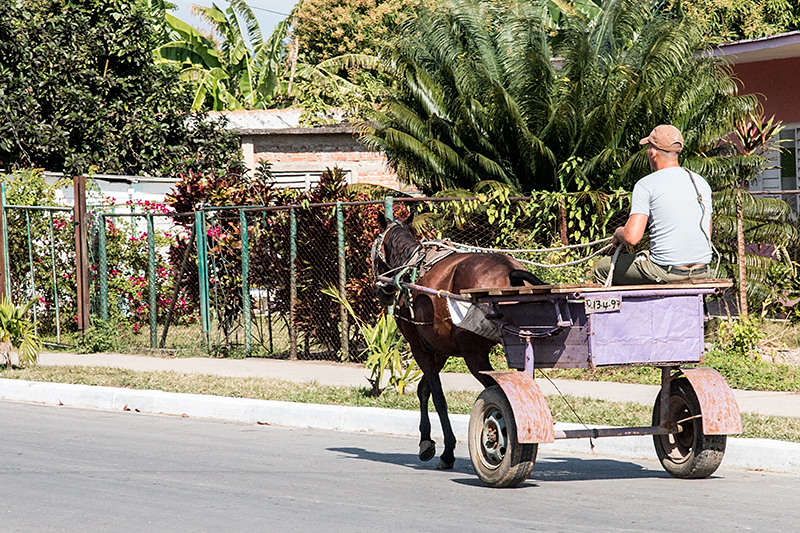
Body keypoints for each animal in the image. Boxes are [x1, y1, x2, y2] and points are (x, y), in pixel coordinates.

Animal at [372, 212, 540, 470]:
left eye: (374, 249)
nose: (382, 292)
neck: (412, 266)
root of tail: (510, 271)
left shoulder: (419, 347)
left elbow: (438, 396)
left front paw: (445, 450)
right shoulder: (439, 350)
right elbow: (423, 389)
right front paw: (427, 442)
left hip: (474, 354)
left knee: (498, 392)